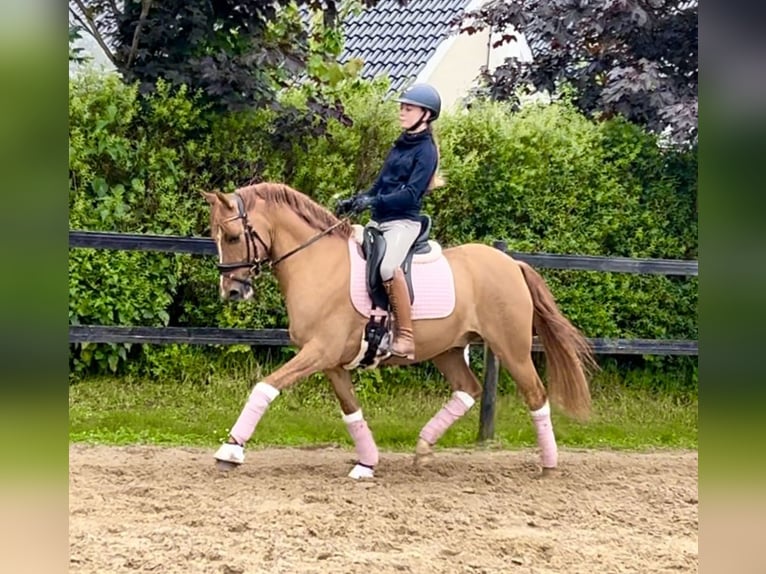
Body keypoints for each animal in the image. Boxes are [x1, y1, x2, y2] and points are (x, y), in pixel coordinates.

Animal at [201, 182, 596, 480]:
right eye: (215, 236)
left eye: (233, 236)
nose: (232, 291)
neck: (317, 262)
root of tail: (512, 263)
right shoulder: (332, 362)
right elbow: (351, 411)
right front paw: (366, 463)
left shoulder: (318, 351)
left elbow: (265, 387)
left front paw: (230, 450)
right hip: (448, 350)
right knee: (468, 389)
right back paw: (423, 449)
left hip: (510, 348)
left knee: (536, 395)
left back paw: (548, 465)